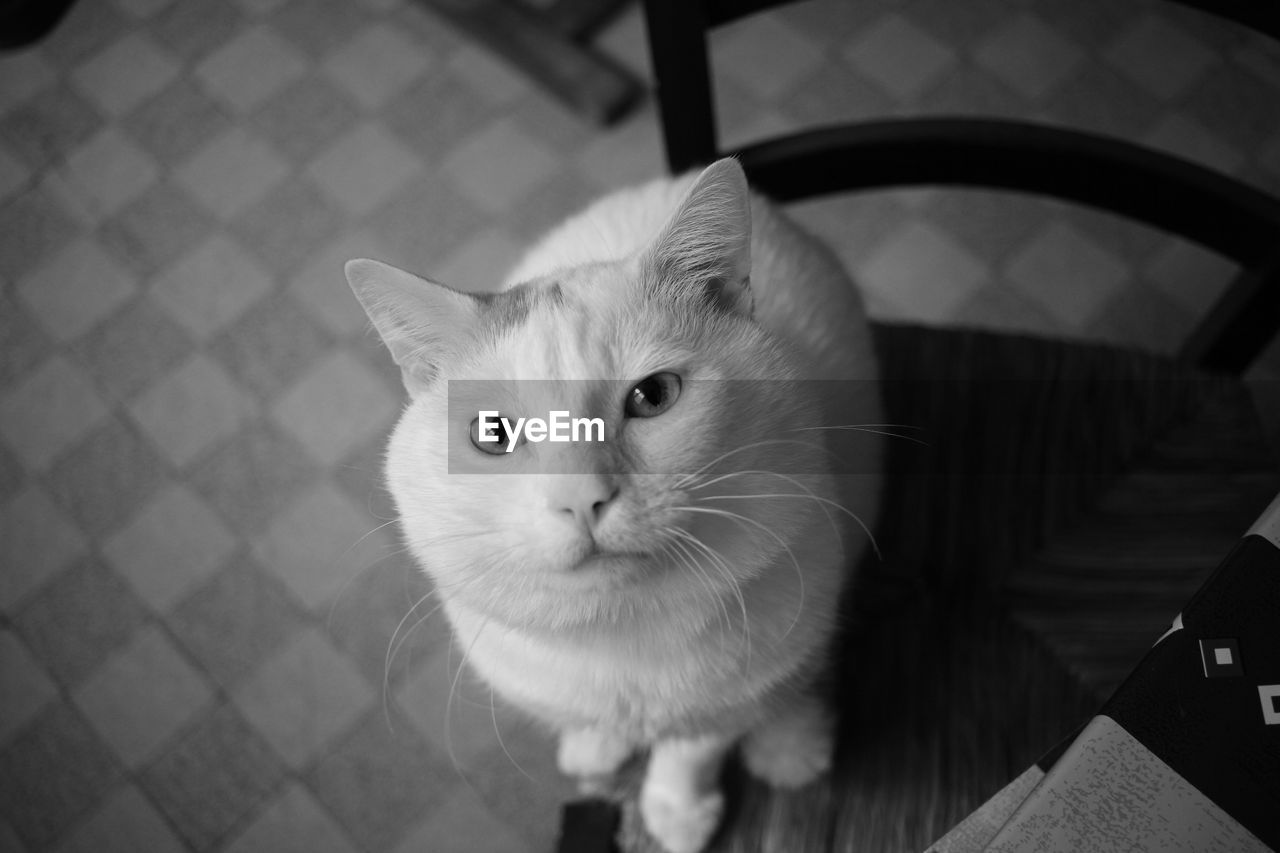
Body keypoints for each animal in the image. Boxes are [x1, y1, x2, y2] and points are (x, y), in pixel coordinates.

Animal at [345, 159, 885, 850]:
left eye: (653, 396)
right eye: (493, 433)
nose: (581, 498)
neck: (618, 629)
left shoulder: (731, 686)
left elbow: (695, 746)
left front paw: (677, 810)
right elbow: (593, 717)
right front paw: (598, 742)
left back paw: (790, 744)